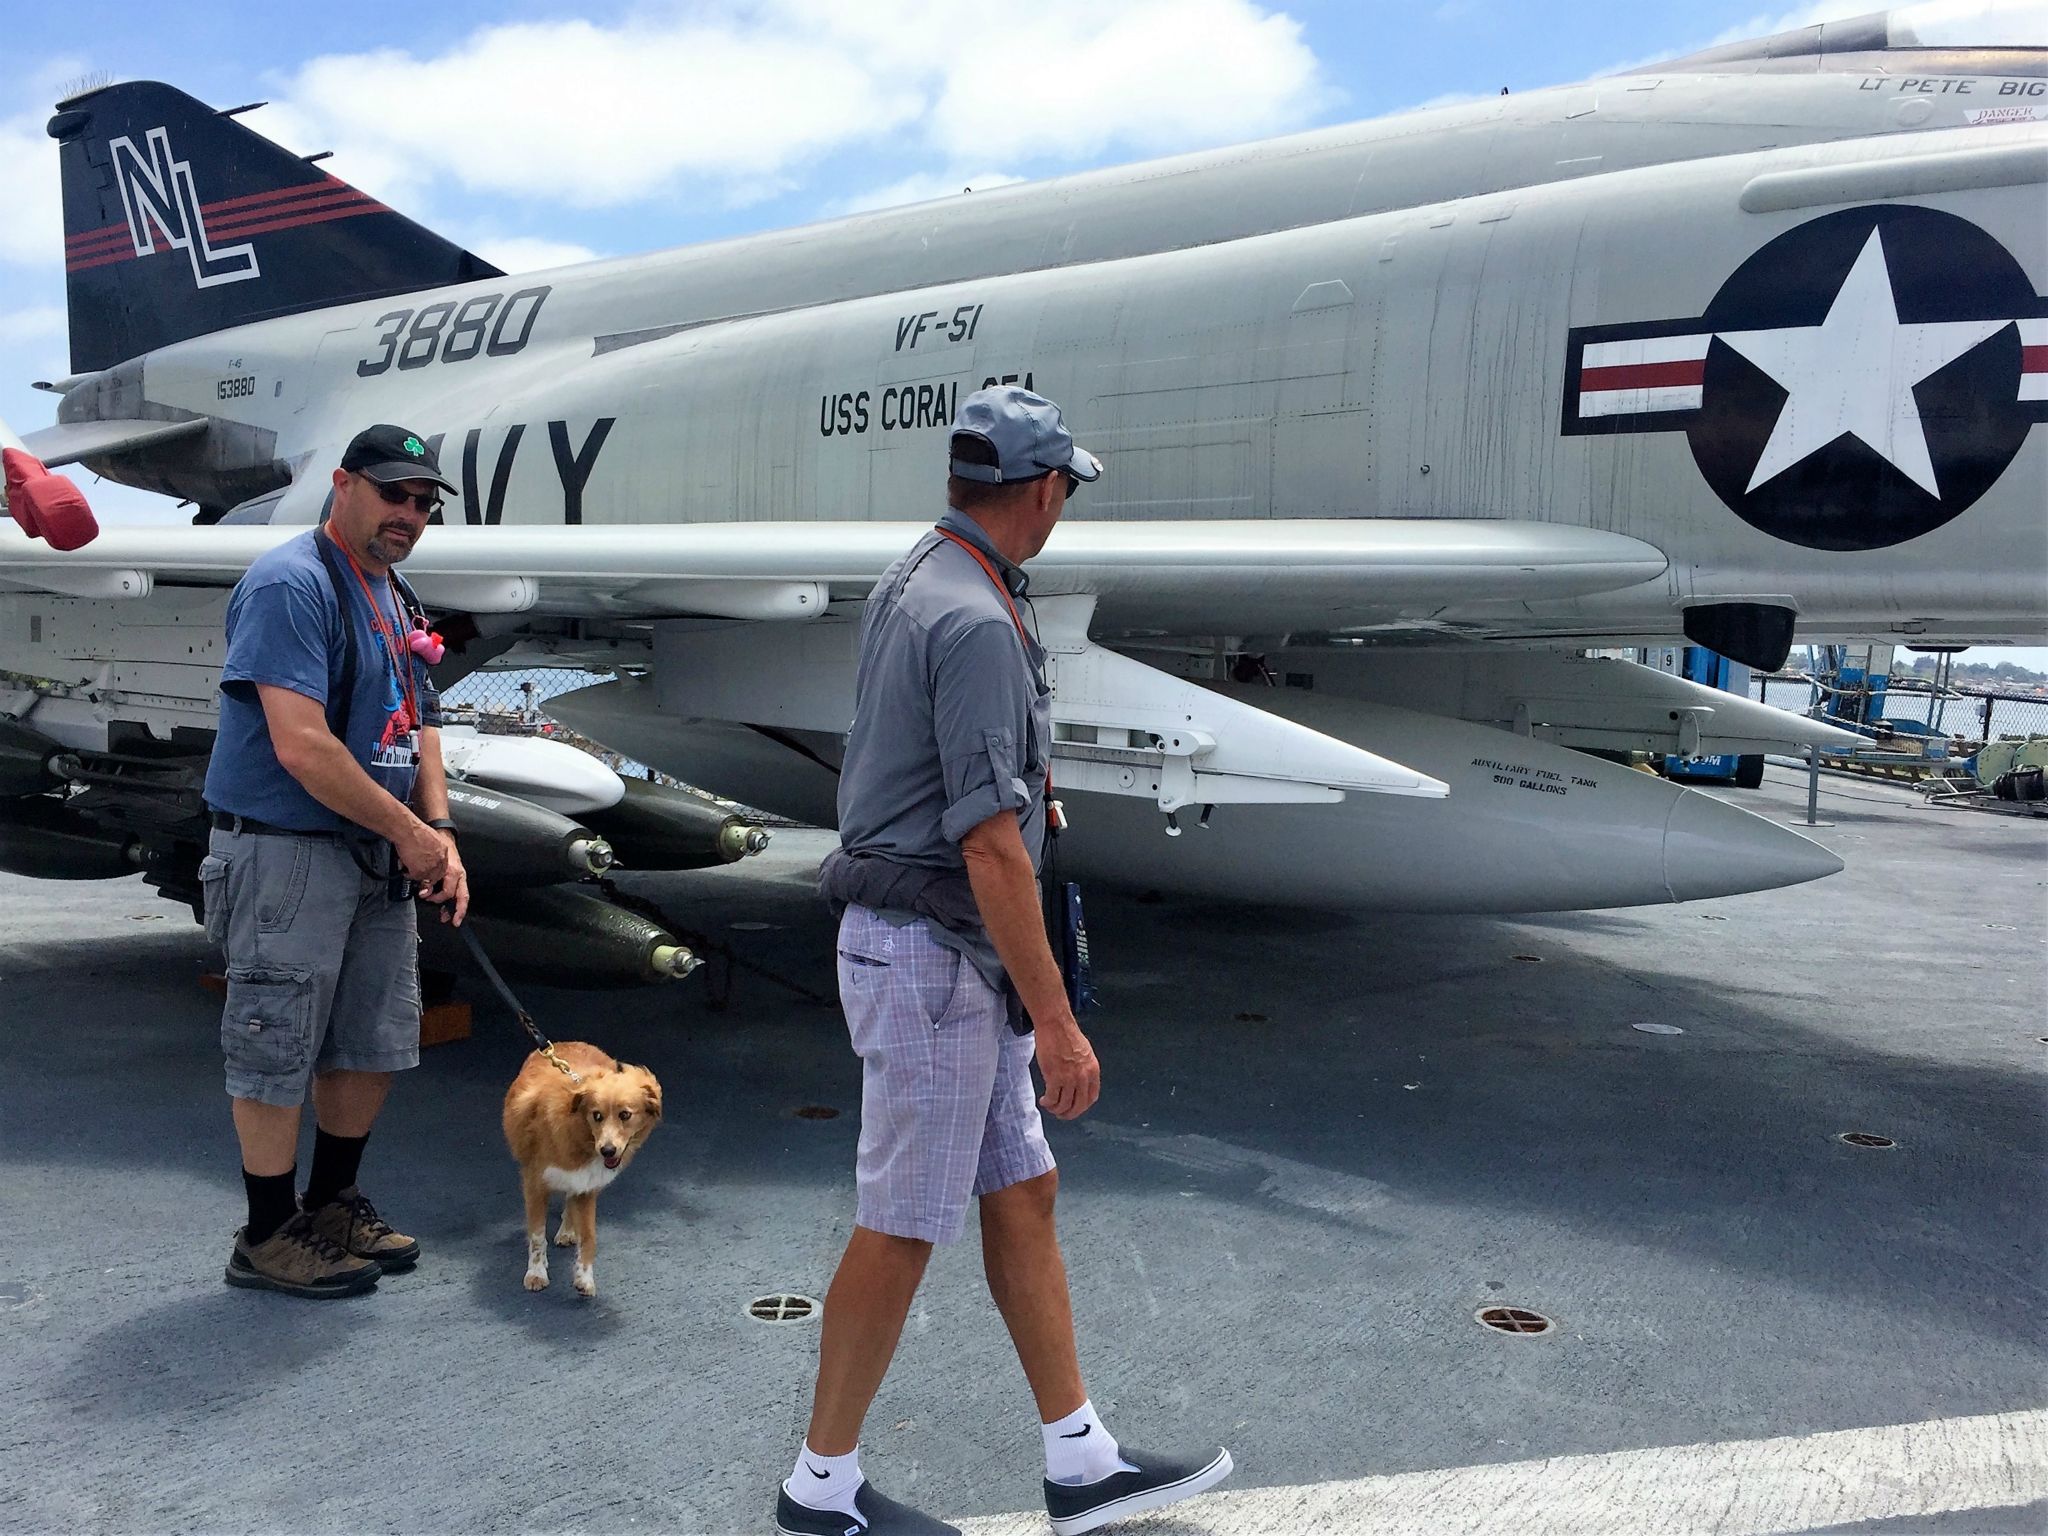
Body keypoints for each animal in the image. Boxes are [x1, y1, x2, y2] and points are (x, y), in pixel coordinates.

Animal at [499, 1048, 659, 1302]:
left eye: (625, 1115)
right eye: (597, 1115)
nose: (608, 1151)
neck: (579, 1133)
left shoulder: (586, 1187)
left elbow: (589, 1238)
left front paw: (584, 1278)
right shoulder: (535, 1184)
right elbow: (537, 1235)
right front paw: (536, 1273)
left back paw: (567, 1230)